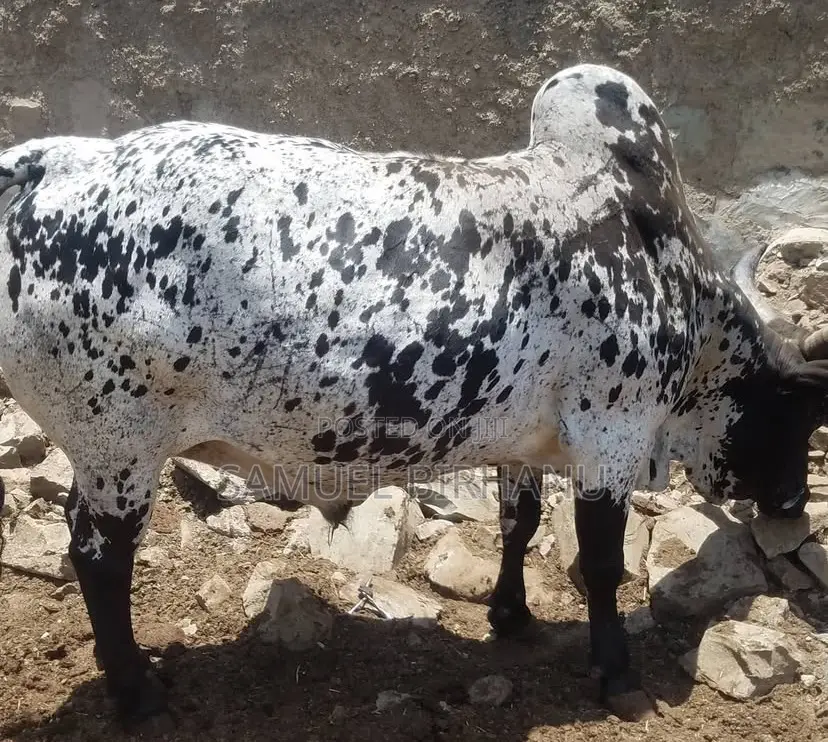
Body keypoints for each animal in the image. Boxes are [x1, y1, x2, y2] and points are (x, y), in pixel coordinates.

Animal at [0, 62, 826, 728]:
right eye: (799, 414)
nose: (792, 501)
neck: (667, 265)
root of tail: (50, 161)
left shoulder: (524, 441)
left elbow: (520, 522)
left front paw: (512, 615)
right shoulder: (611, 436)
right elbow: (600, 563)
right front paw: (619, 676)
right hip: (120, 445)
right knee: (98, 557)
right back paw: (138, 694)